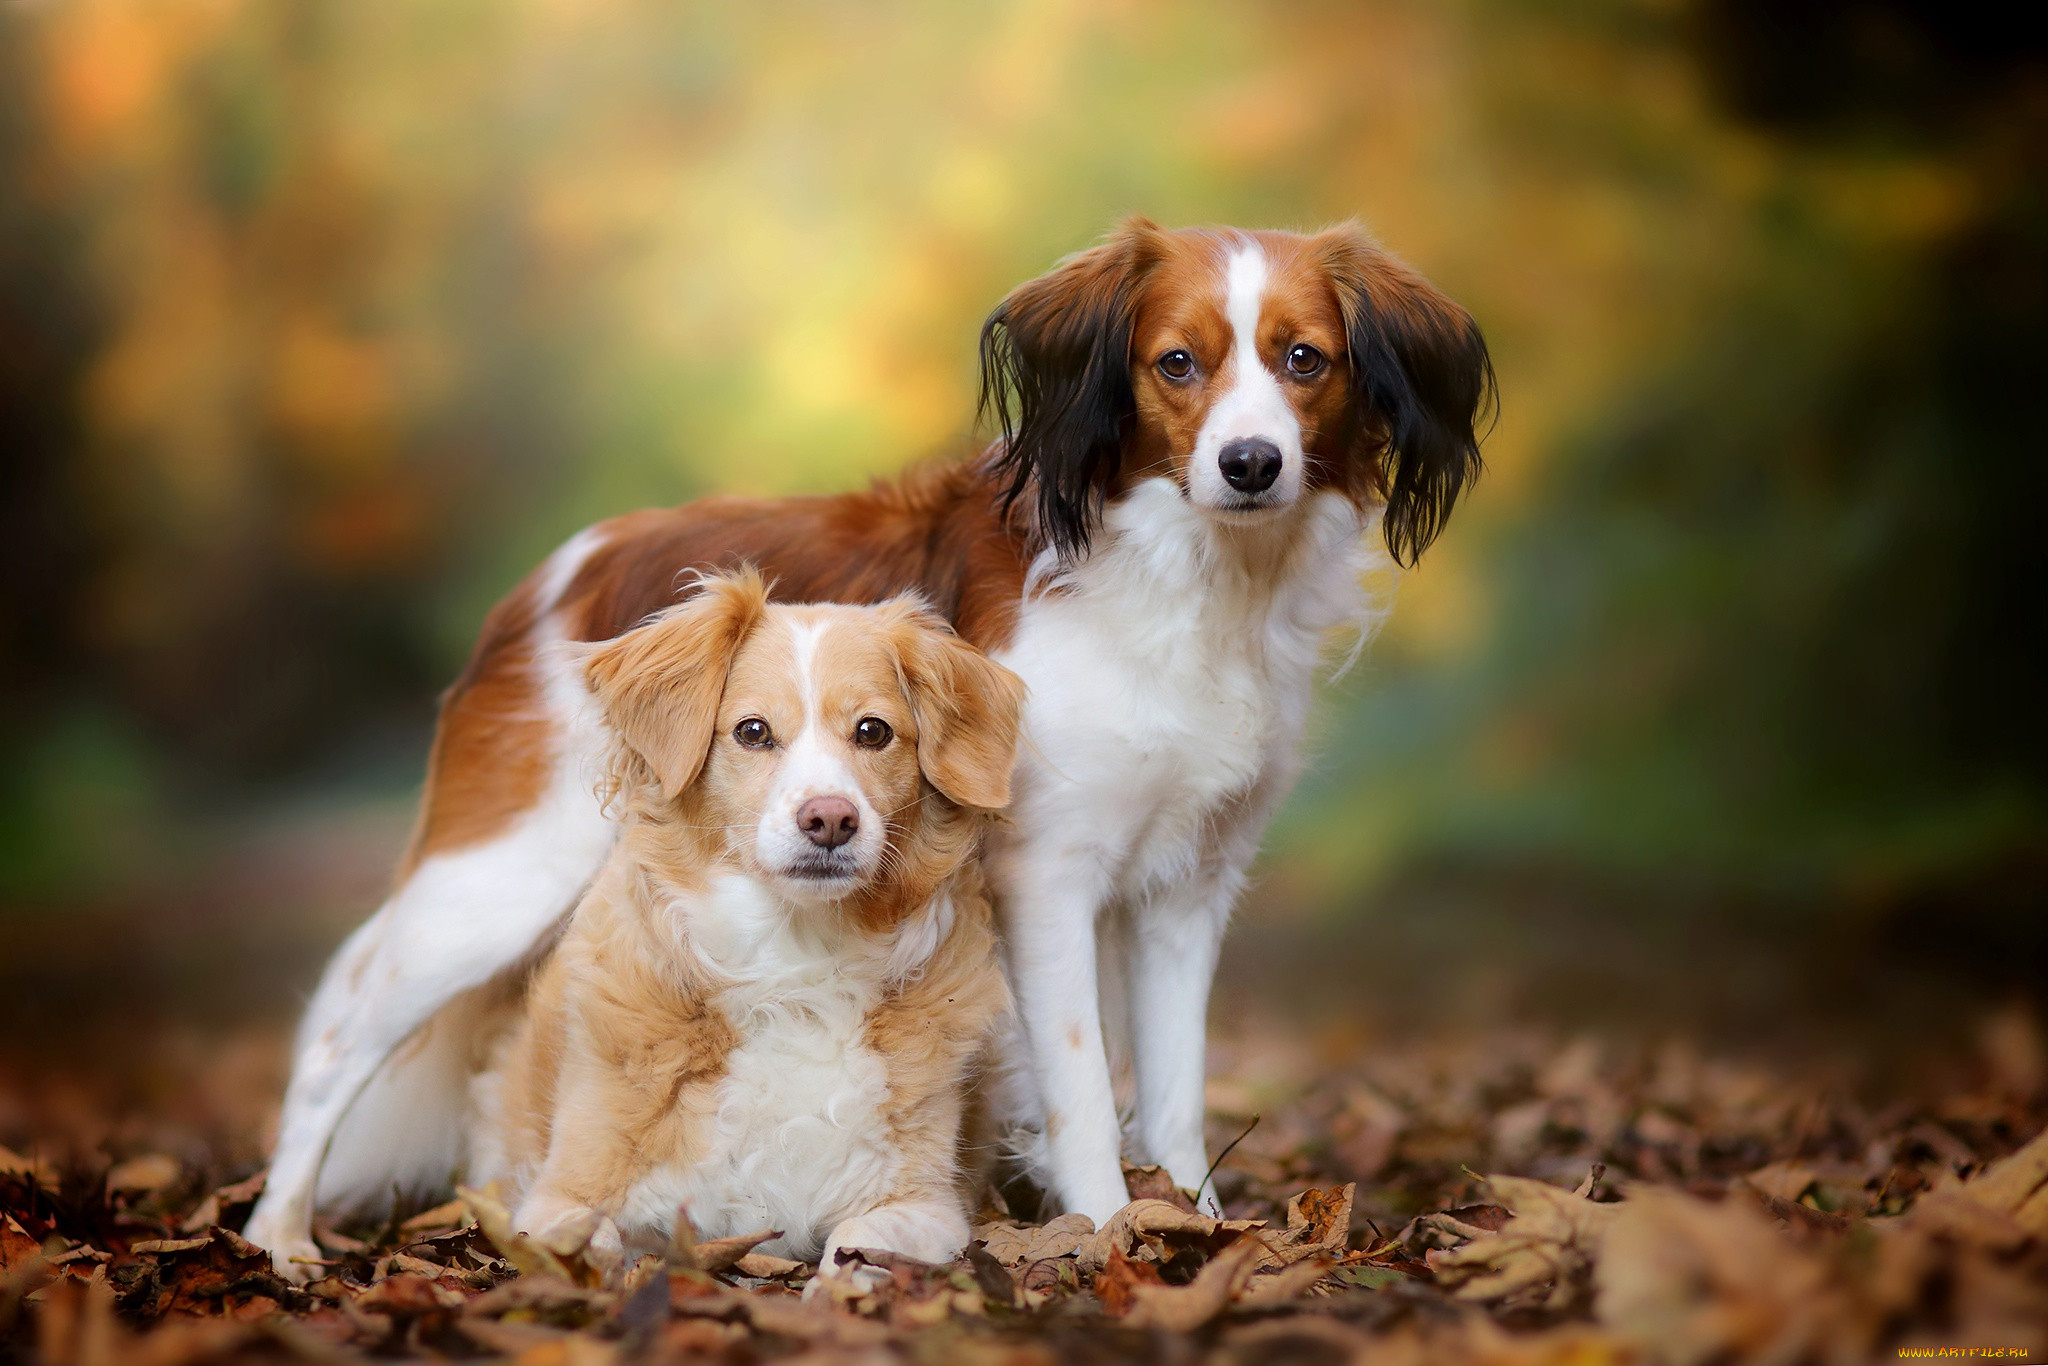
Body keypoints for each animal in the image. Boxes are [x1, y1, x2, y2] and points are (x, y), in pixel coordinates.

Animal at [468, 573, 1019, 1277]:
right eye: (753, 731)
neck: (794, 963)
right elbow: (594, 1242)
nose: (831, 819)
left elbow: (855, 1248)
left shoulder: (924, 1204)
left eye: (873, 731)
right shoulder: (562, 1196)